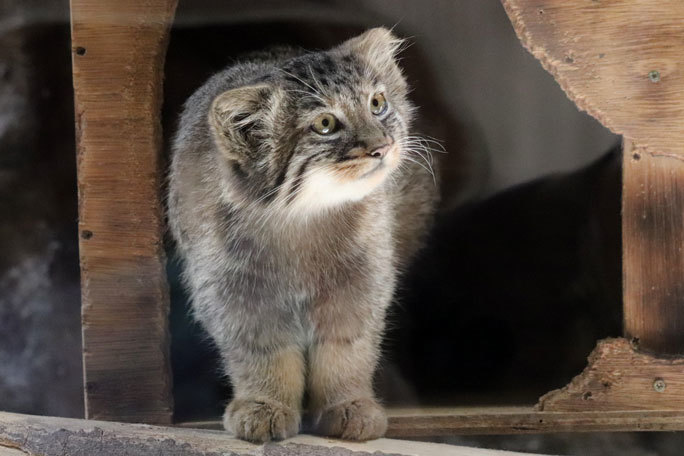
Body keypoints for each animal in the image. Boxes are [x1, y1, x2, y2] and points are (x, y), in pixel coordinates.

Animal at [168, 28, 440, 442]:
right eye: (325, 124)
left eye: (377, 104)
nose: (382, 147)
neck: (303, 222)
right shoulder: (235, 295)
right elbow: (262, 355)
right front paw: (265, 403)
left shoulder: (361, 286)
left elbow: (348, 351)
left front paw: (349, 403)